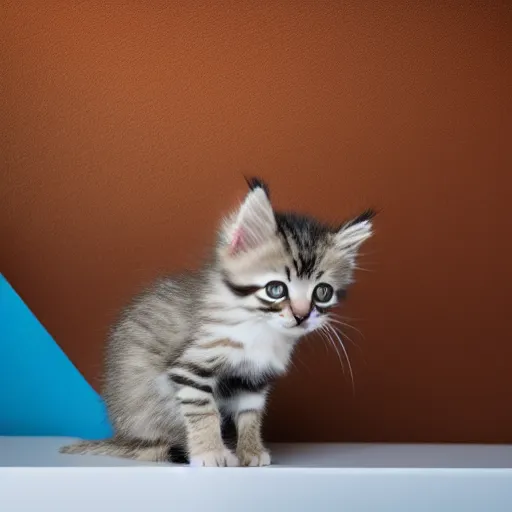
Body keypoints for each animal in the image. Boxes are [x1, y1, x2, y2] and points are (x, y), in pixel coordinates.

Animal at [61, 178, 376, 466]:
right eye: (276, 289)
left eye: (322, 293)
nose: (301, 315)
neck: (260, 330)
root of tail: (123, 437)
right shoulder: (191, 367)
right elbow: (204, 411)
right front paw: (211, 453)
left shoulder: (253, 380)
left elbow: (250, 415)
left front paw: (250, 451)